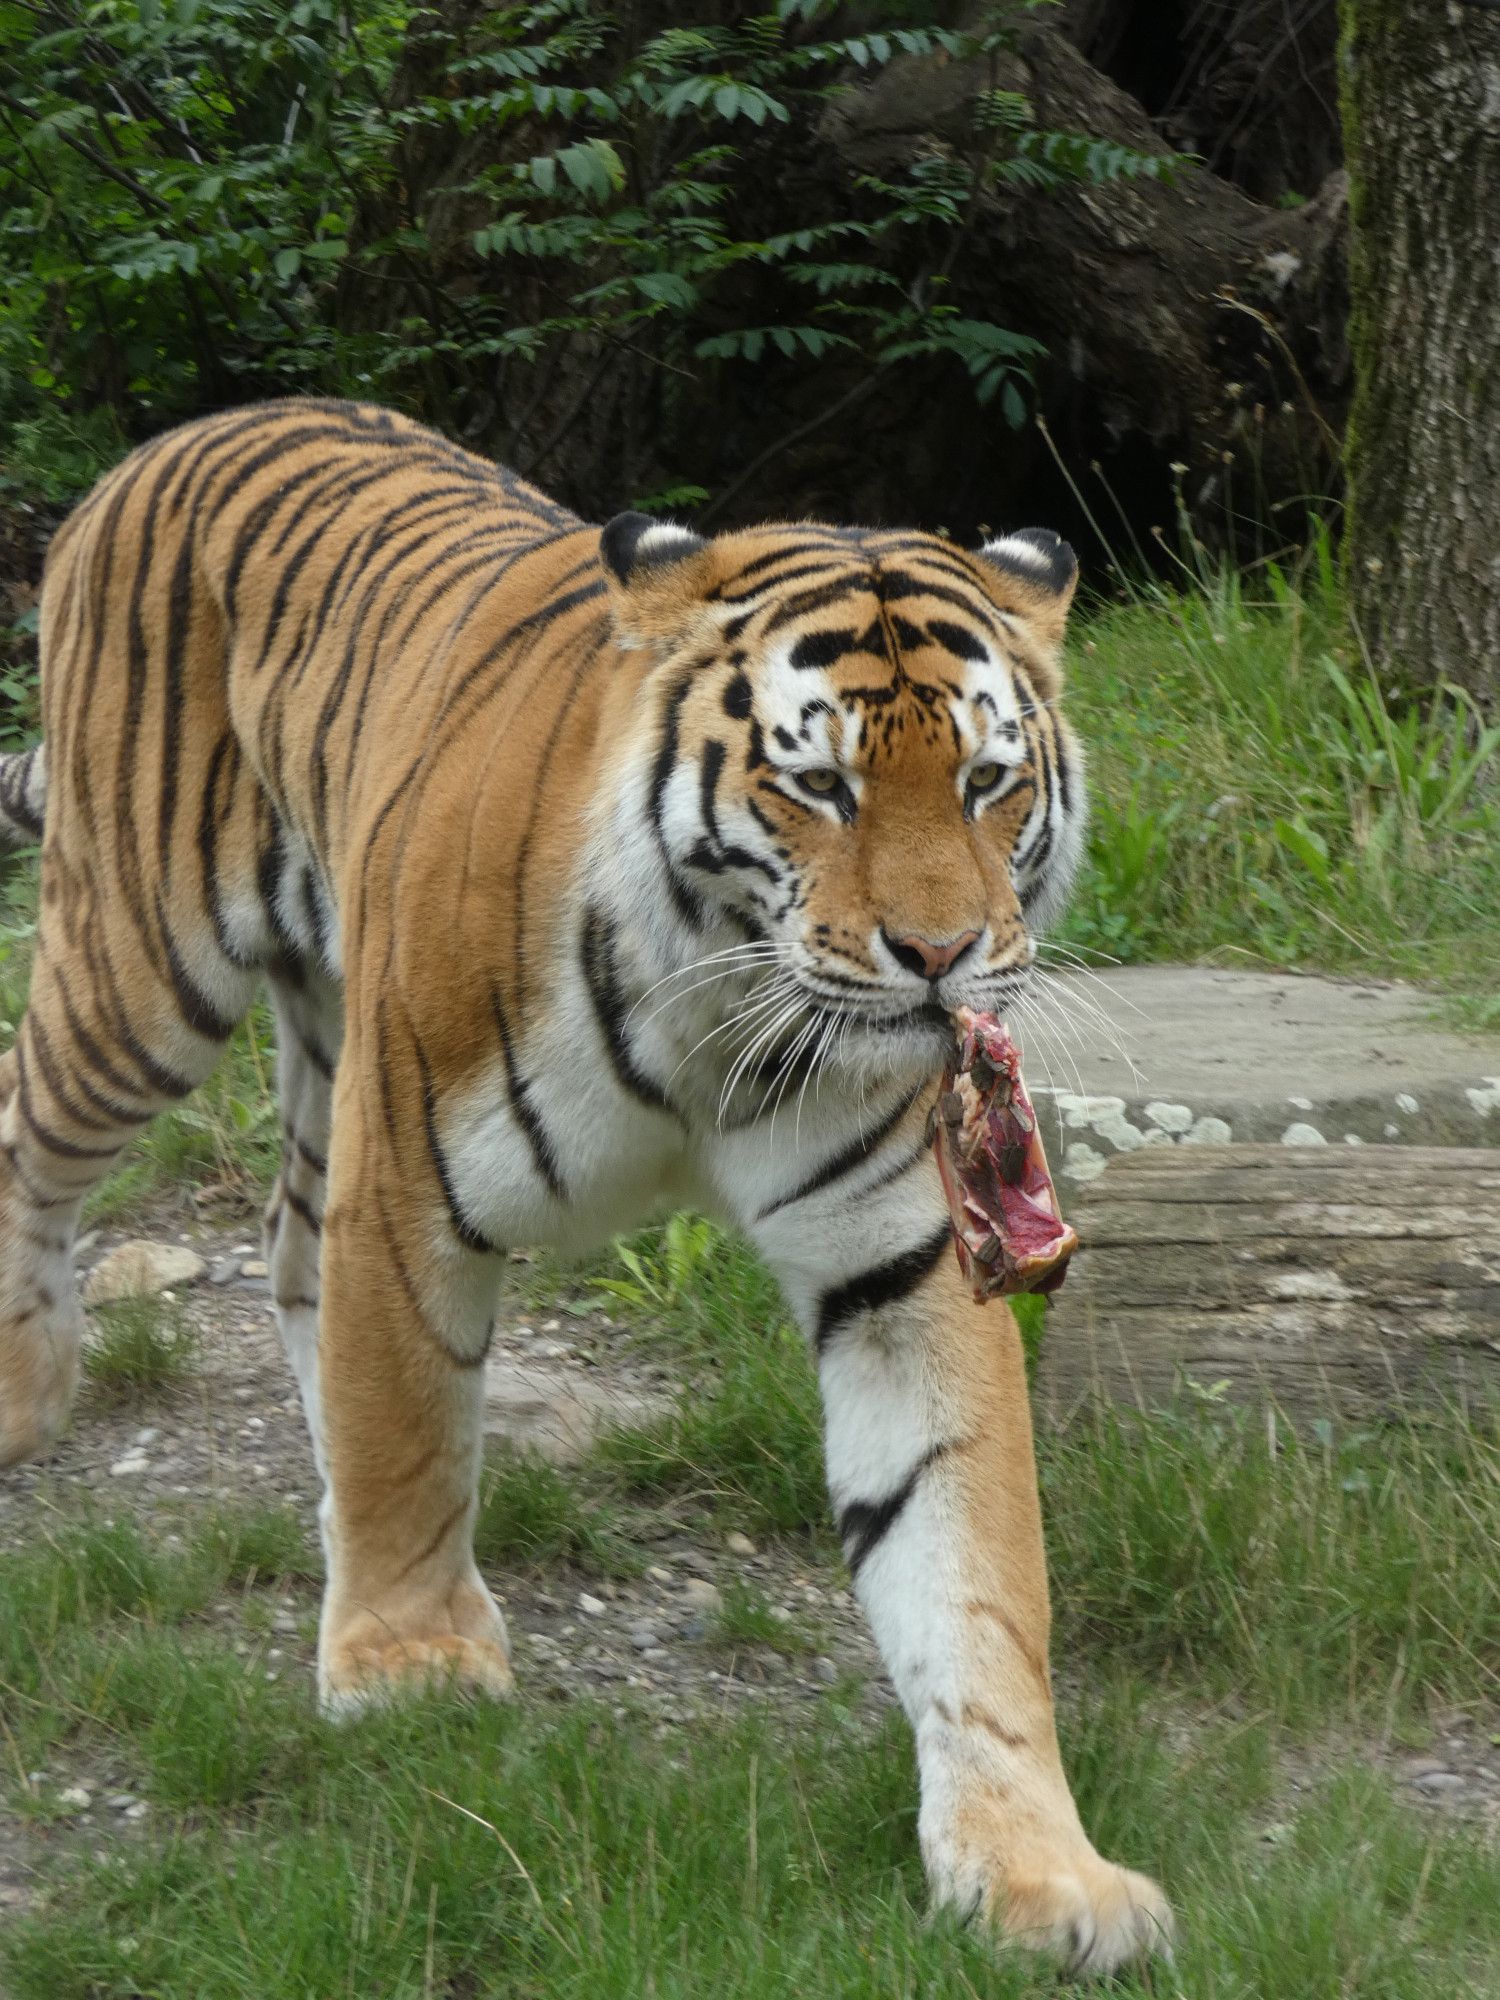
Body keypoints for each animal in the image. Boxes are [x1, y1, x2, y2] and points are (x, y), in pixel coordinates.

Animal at [0, 402, 1176, 1968]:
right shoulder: (407, 1176)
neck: (723, 1020)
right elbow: (409, 1425)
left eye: (989, 780)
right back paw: (25, 1392)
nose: (942, 957)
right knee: (30, 1132)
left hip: (318, 1025)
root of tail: (172, 440)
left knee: (290, 1245)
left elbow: (968, 1558)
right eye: (821, 784)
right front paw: (410, 1663)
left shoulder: (906, 1262)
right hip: (143, 973)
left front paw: (1037, 1868)